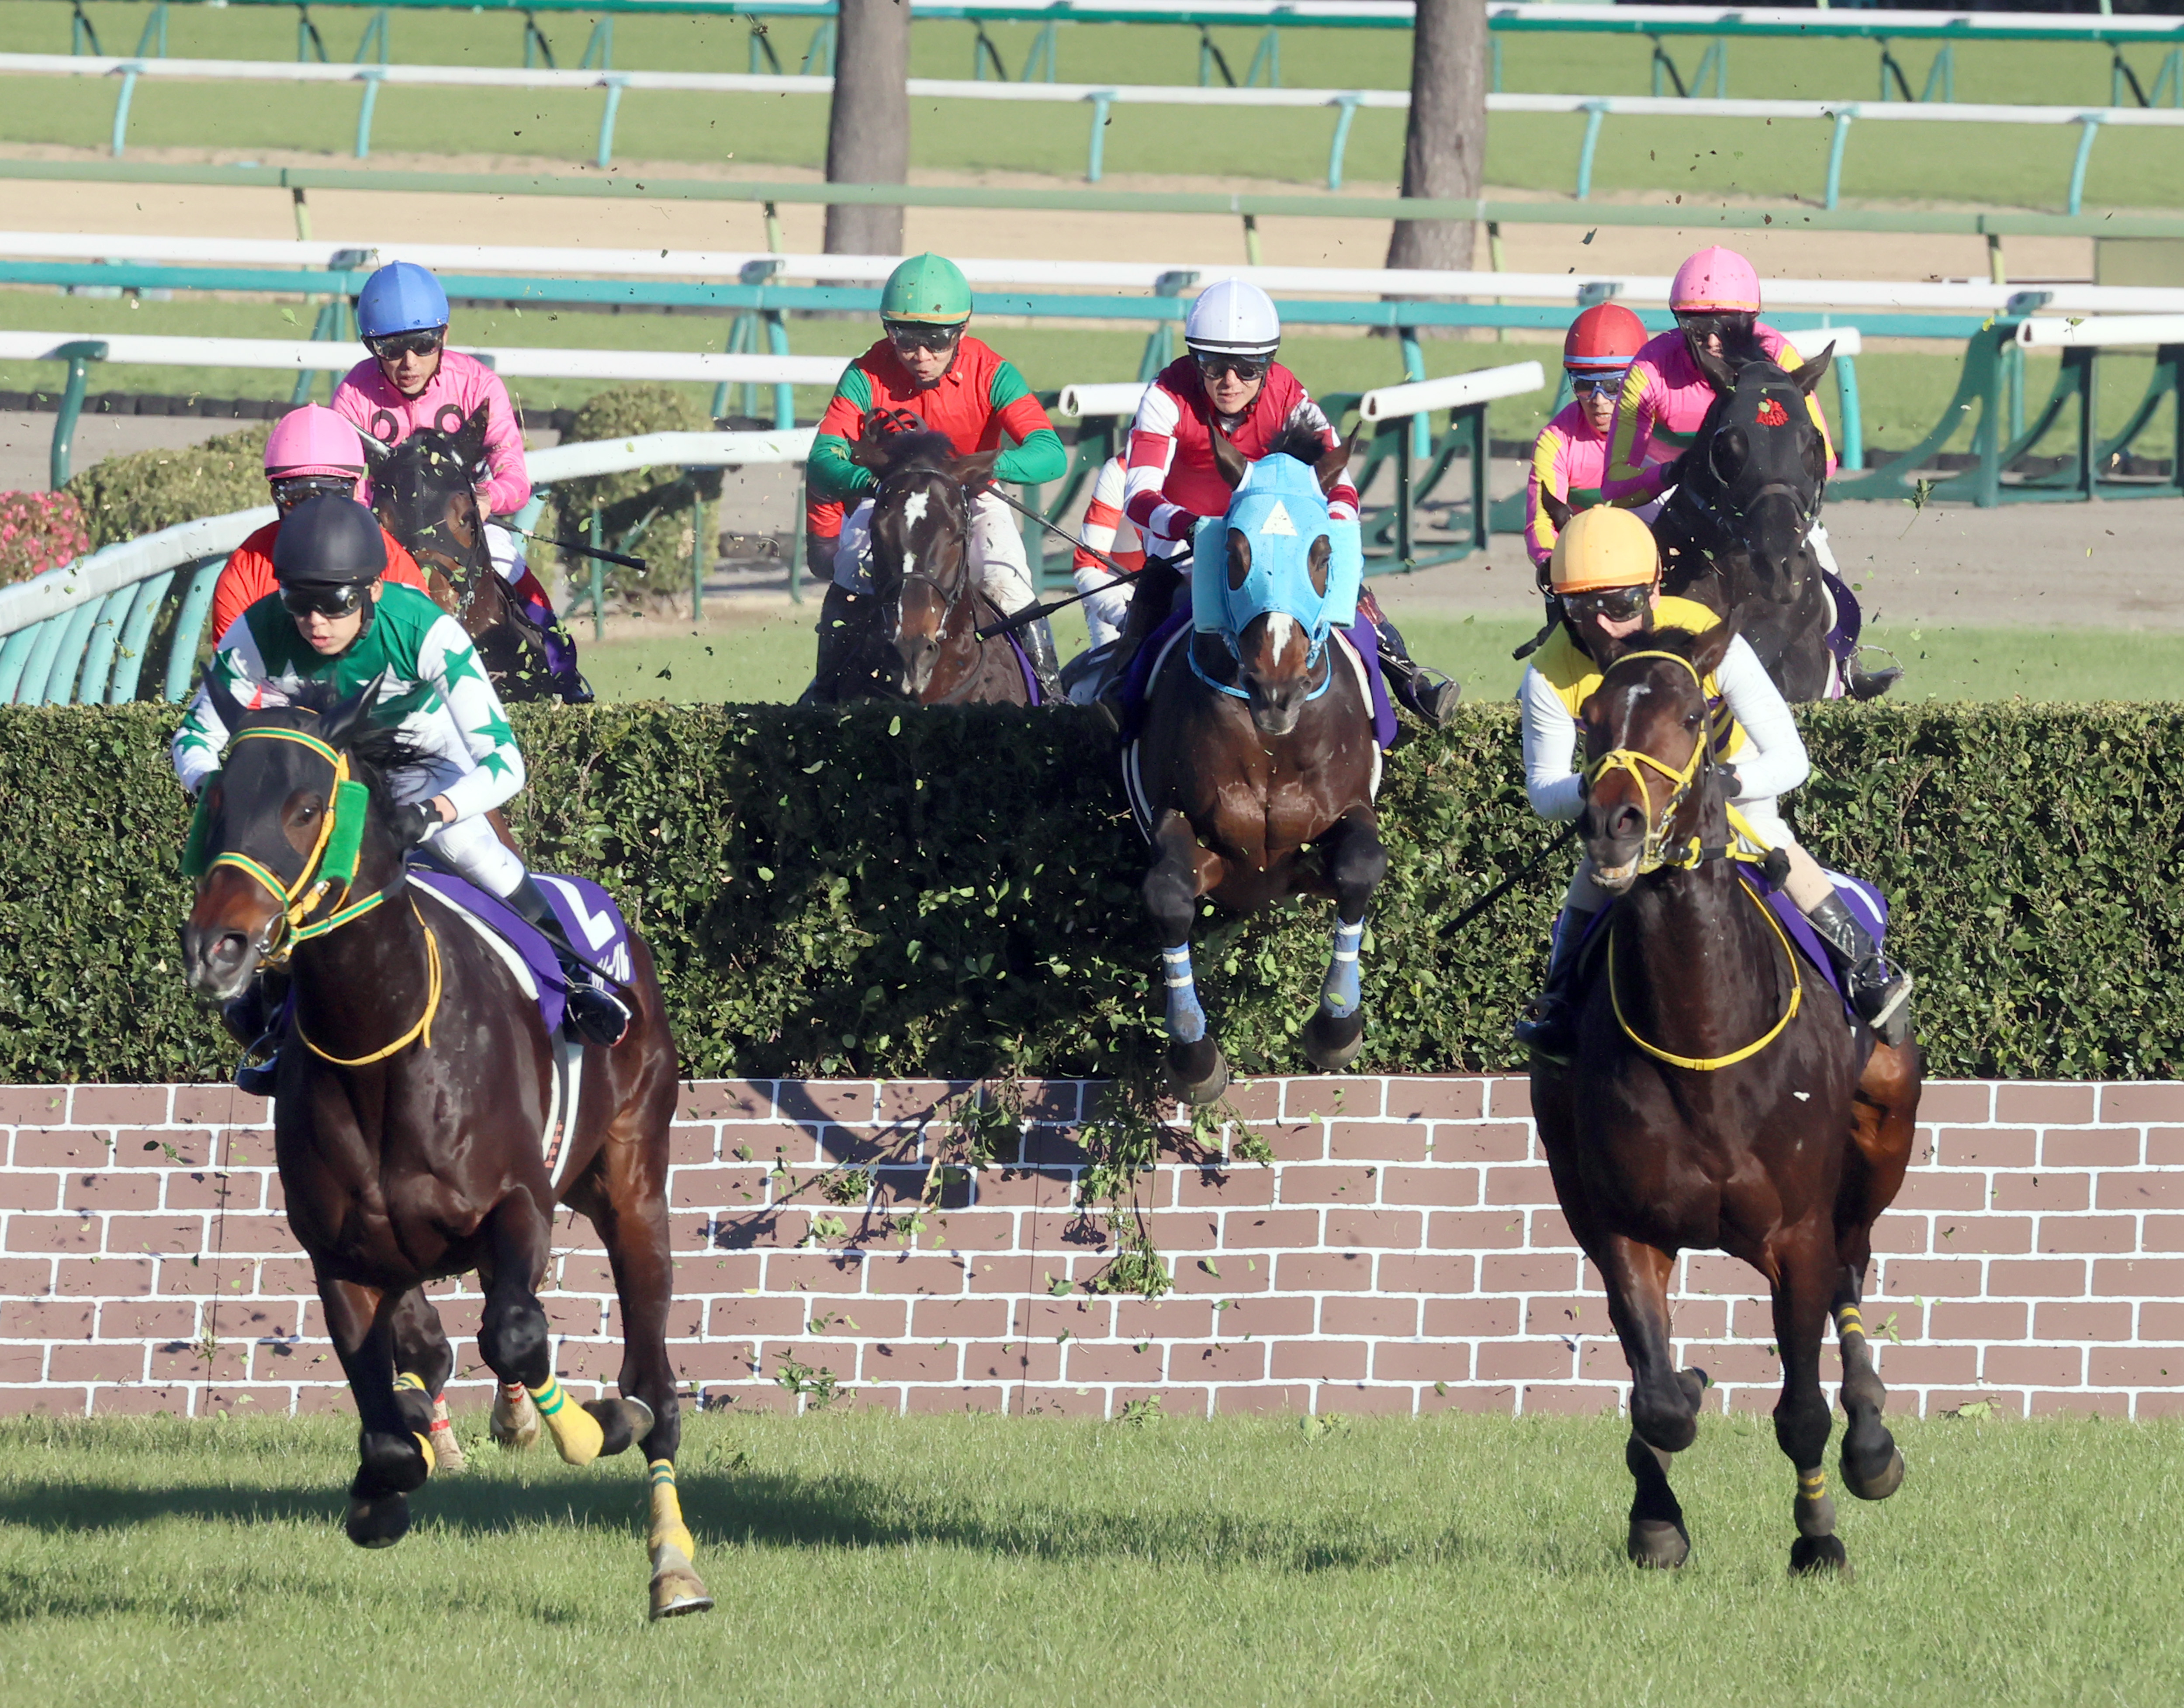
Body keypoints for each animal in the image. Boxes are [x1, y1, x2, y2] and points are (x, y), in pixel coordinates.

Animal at [178, 677, 712, 1625]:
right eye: (217, 802)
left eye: (306, 807)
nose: (218, 947)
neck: (381, 1040)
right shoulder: (343, 1257)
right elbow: (394, 1412)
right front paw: (384, 1489)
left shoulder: (519, 1205)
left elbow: (516, 1332)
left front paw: (588, 1425)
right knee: (439, 1349)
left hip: (633, 1185)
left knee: (652, 1383)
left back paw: (670, 1562)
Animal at [1135, 422, 1389, 1105]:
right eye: (1234, 551)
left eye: (1321, 552)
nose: (1275, 688)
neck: (1273, 742)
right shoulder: (1182, 821)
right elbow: (1167, 896)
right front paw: (1194, 1056)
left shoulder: (1344, 815)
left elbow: (1358, 868)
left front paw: (1336, 1026)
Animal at [1529, 616, 1922, 1581]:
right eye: (1590, 719)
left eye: (1692, 715)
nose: (1613, 822)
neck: (1701, 1040)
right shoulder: (1622, 1225)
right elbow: (1659, 1400)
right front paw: (1658, 1512)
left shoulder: (1795, 1234)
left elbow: (1801, 1410)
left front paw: (1817, 1537)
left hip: (1876, 1149)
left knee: (1855, 1260)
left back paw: (1871, 1443)